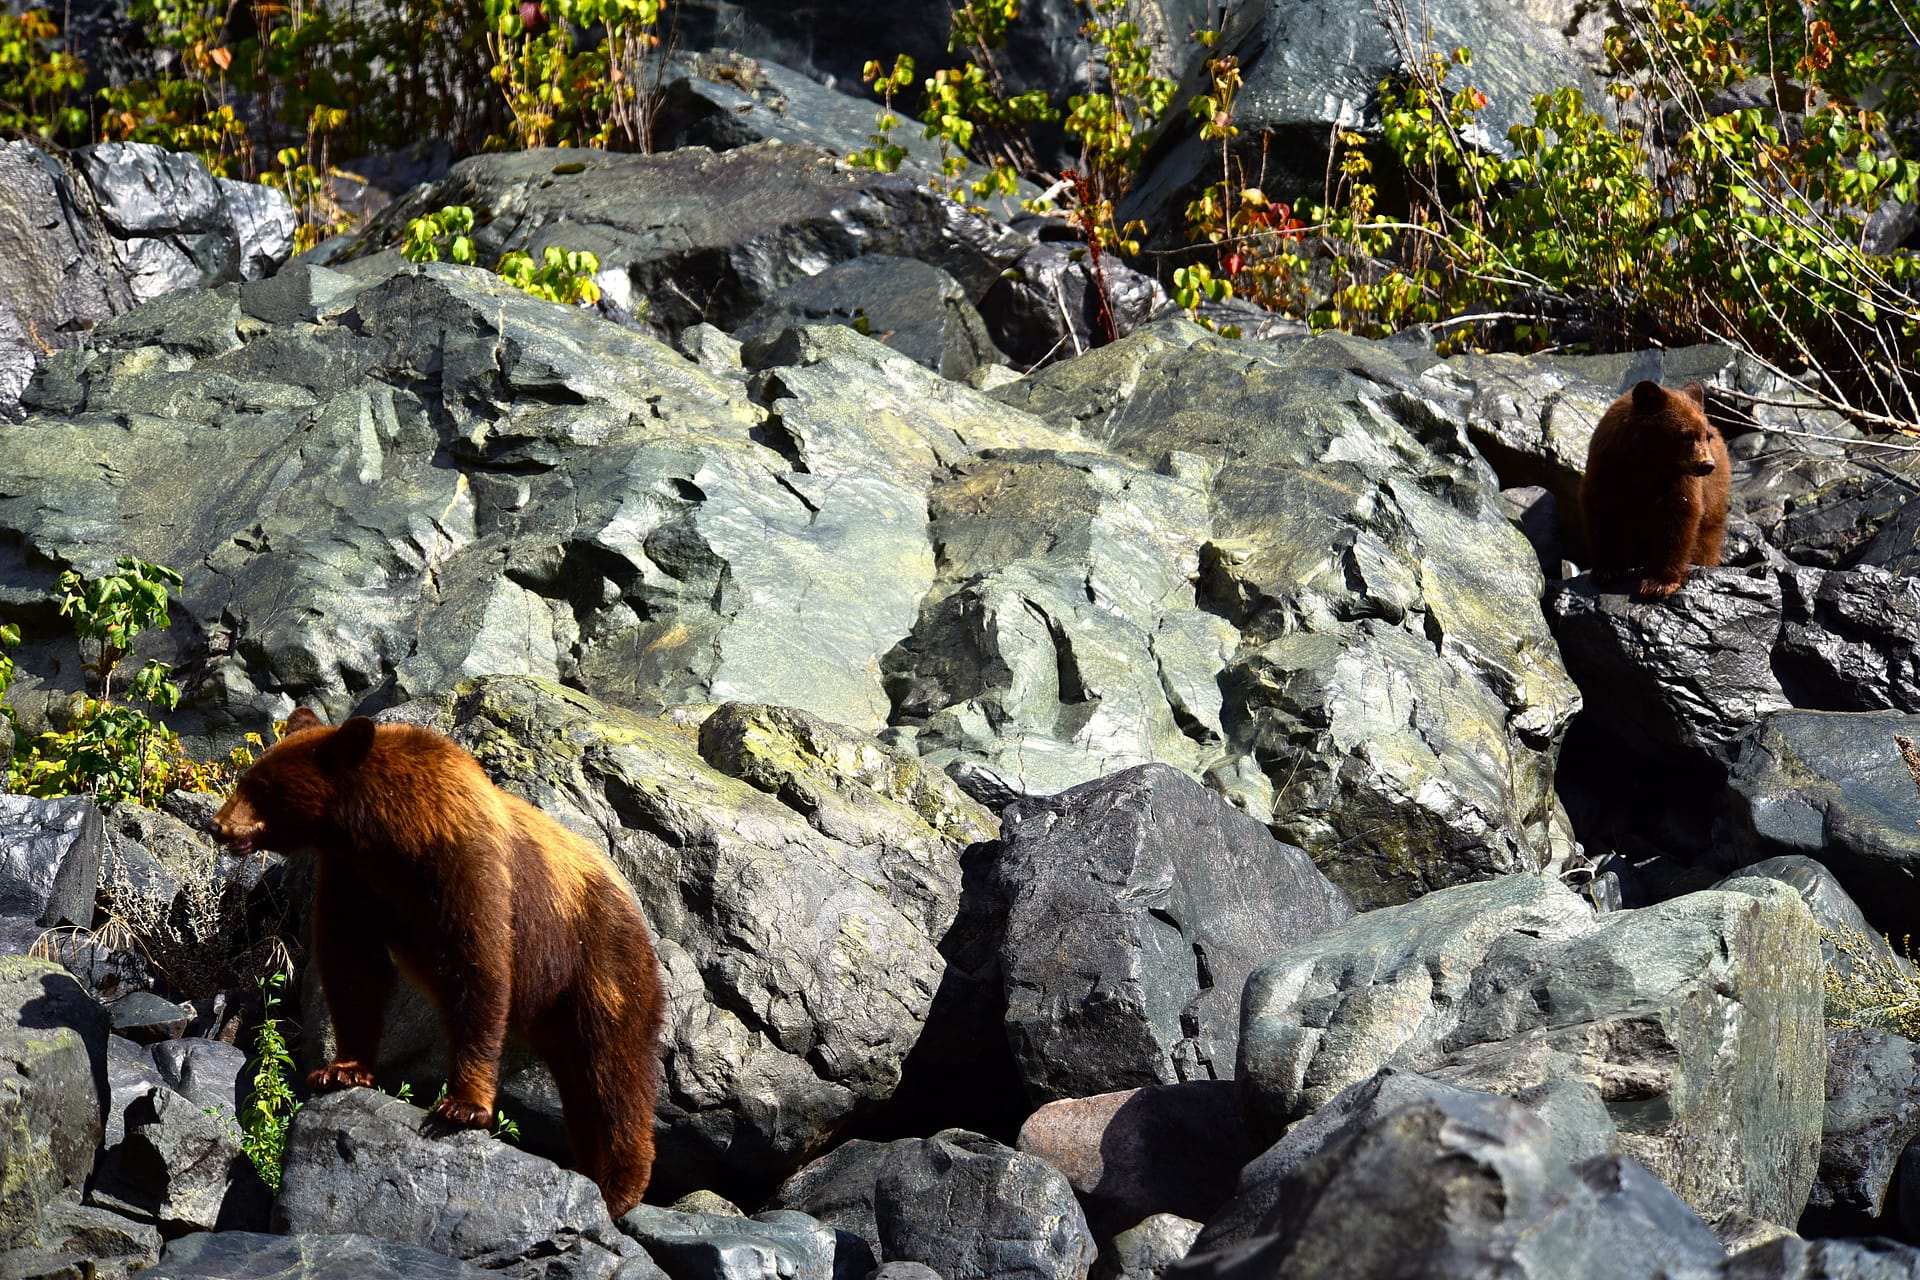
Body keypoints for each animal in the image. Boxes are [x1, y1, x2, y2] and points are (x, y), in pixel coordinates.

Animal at [209, 706, 665, 1216]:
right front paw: (341, 1069)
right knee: (581, 1084)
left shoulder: (466, 869)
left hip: (599, 964)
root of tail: (640, 919)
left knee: (614, 1070)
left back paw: (620, 1186)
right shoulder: (355, 877)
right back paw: (588, 1170)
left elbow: (479, 971)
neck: (390, 834)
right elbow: (353, 967)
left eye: (263, 786)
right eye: (248, 778)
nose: (217, 824)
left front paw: (462, 1105)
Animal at [1579, 379, 1731, 602]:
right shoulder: (1608, 467)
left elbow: (1679, 518)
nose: (1707, 464)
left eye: (1707, 436)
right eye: (1687, 434)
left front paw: (1659, 583)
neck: (1647, 462)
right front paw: (1608, 570)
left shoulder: (1678, 479)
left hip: (1715, 499)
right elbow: (1602, 512)